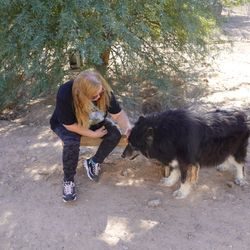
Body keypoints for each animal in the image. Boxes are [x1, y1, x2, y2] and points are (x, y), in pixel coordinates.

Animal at [122, 109, 250, 199]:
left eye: (133, 145)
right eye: (128, 141)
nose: (122, 156)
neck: (165, 134)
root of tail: (243, 115)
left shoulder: (186, 162)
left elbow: (184, 179)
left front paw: (181, 192)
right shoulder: (175, 158)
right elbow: (174, 171)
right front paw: (168, 181)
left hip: (236, 149)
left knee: (240, 163)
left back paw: (240, 178)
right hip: (225, 148)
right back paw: (223, 166)